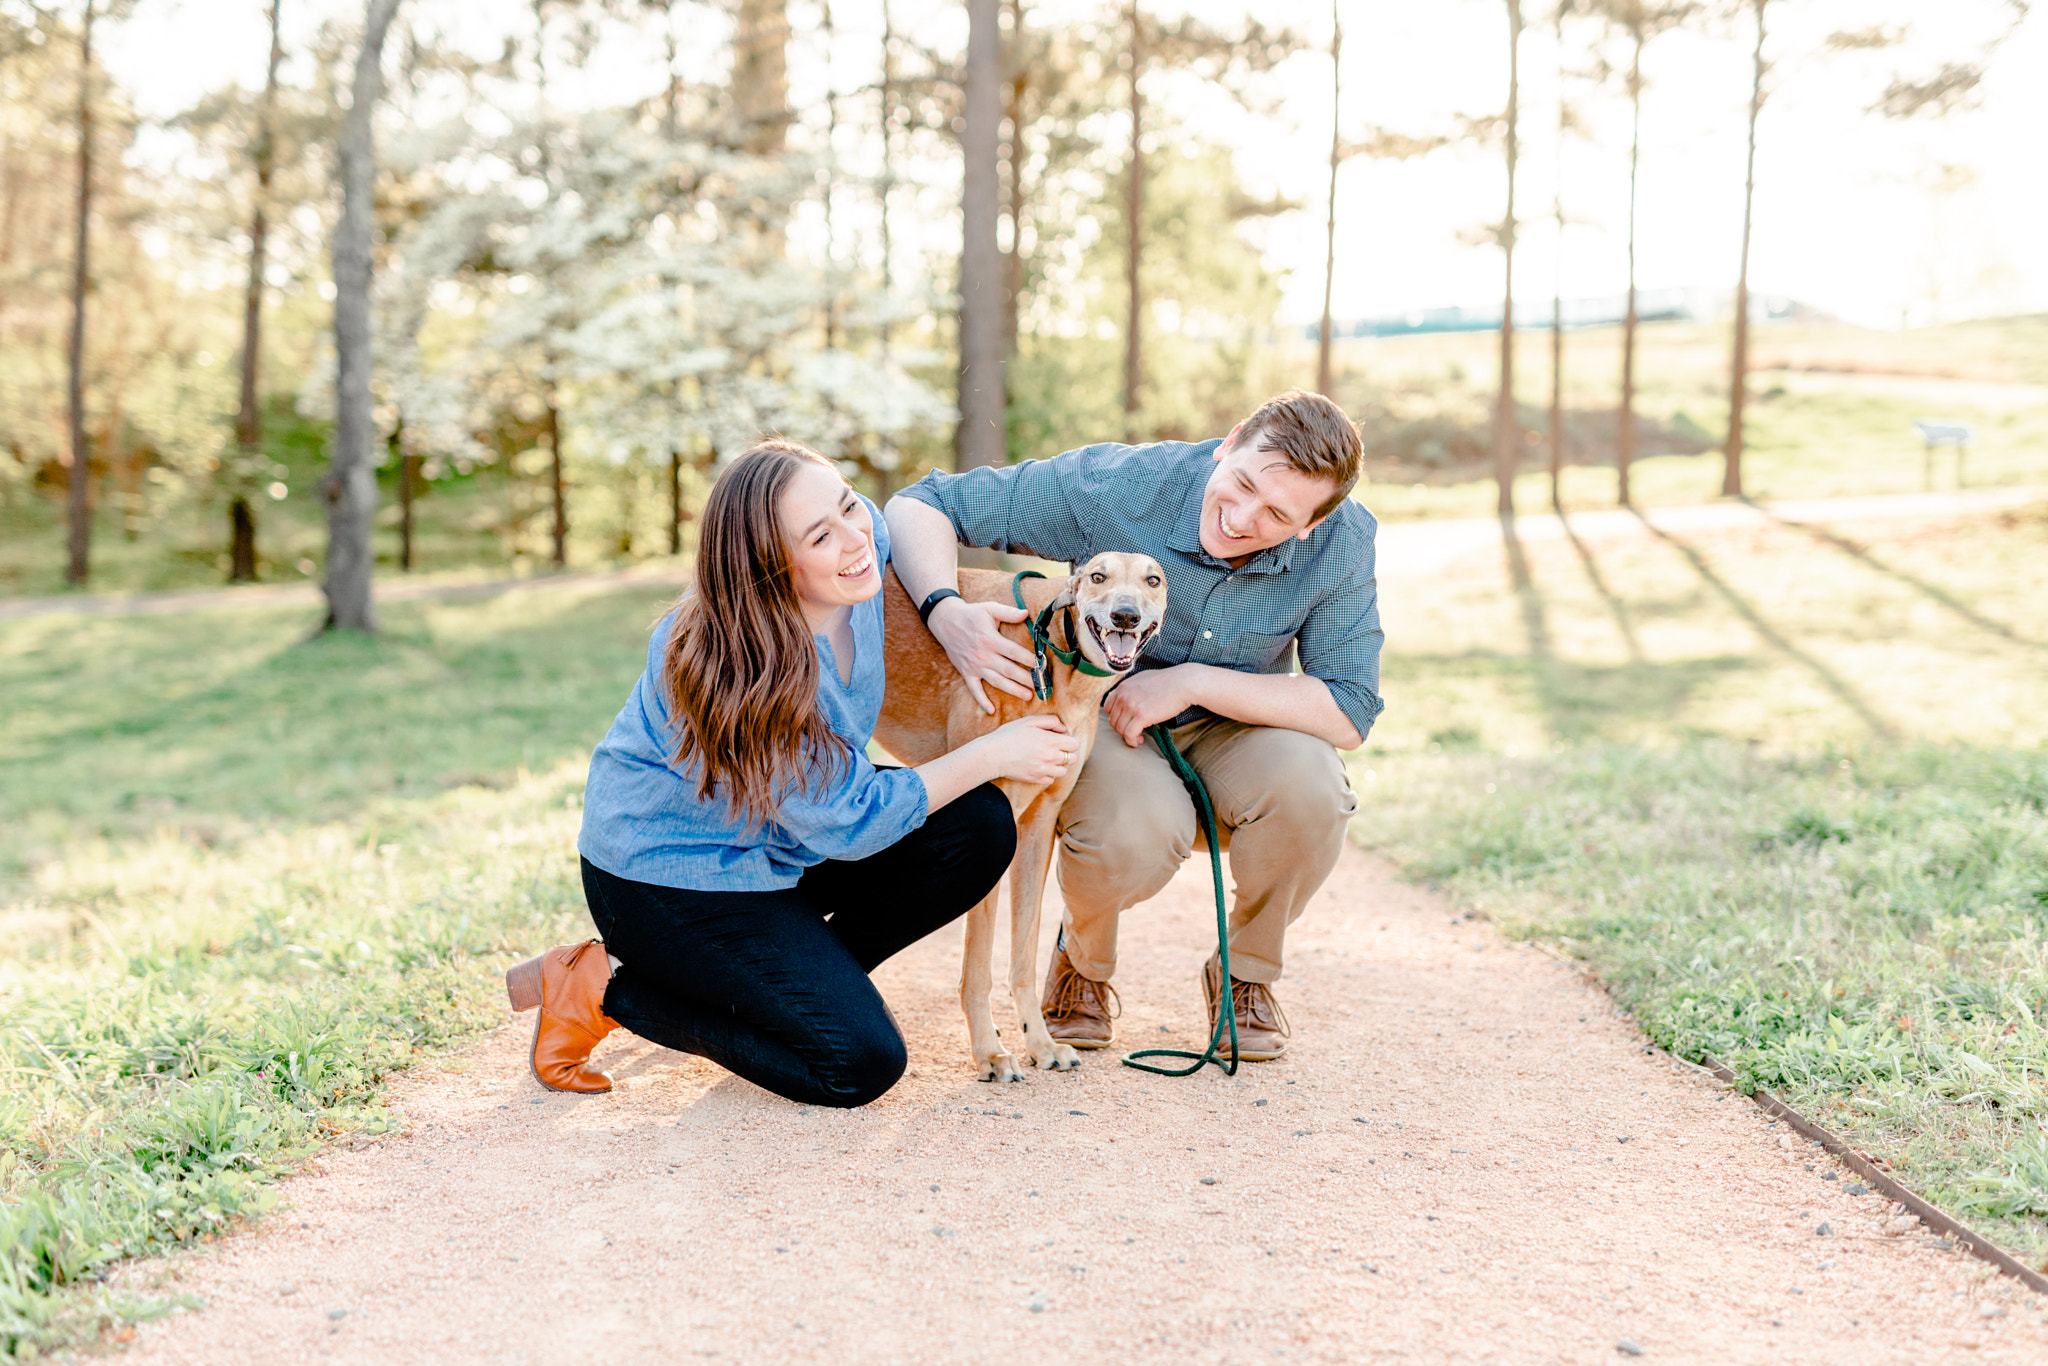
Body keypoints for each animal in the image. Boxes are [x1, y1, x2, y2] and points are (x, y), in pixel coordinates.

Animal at [880, 552, 1171, 1081]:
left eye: (1153, 580)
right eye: (1098, 576)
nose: (1125, 616)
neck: (1055, 656)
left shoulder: (1038, 827)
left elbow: (1024, 956)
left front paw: (1041, 1043)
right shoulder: (997, 817)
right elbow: (977, 967)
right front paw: (989, 1053)